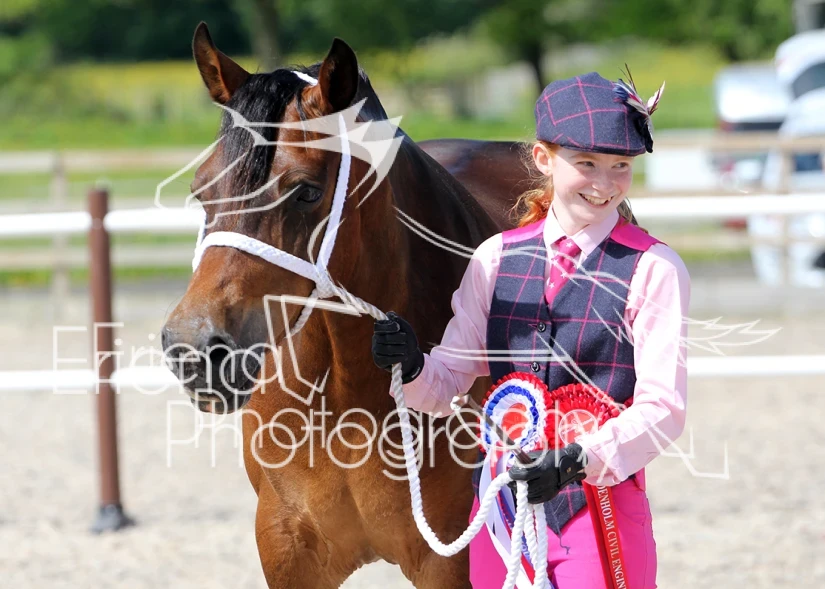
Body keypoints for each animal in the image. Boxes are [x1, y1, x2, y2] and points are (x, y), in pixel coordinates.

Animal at [161, 23, 536, 588]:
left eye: (306, 192)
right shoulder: (286, 547)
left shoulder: (449, 557)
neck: (346, 390)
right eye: (202, 190)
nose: (195, 348)